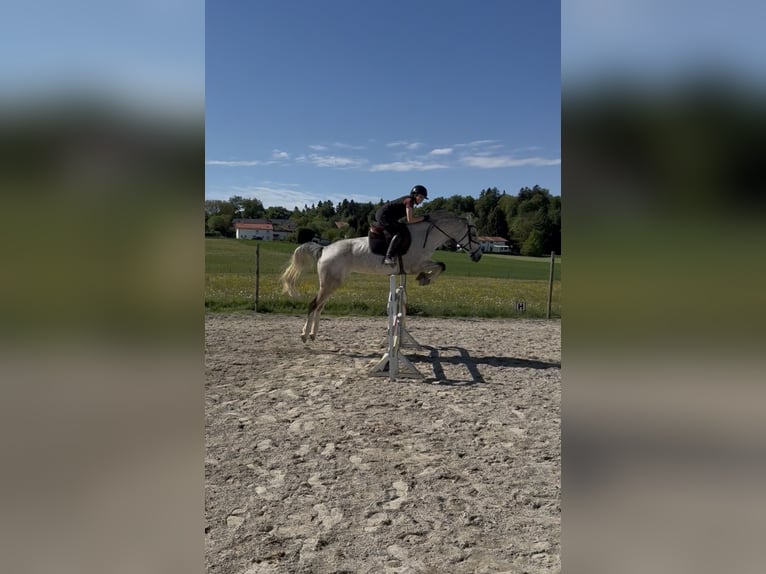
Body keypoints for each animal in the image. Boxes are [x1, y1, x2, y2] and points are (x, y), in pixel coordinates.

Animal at [280, 210, 483, 342]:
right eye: (473, 233)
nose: (479, 255)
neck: (425, 237)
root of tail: (324, 248)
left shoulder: (417, 265)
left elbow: (440, 265)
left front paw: (424, 278)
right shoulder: (415, 265)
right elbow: (441, 265)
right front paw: (425, 279)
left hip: (333, 283)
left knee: (319, 307)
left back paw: (313, 334)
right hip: (329, 283)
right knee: (313, 304)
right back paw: (304, 336)